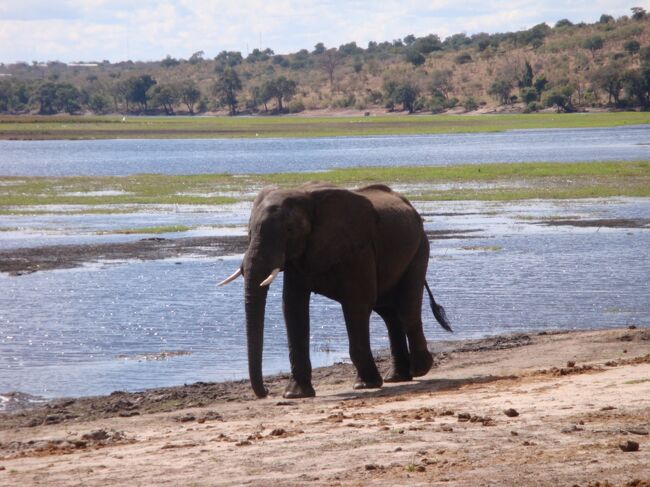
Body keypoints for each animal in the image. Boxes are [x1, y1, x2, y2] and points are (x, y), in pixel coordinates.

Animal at [219, 183, 450, 400]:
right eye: (249, 231)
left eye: (290, 230)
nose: (266, 391)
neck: (304, 196)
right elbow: (293, 307)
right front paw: (296, 395)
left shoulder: (358, 248)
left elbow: (357, 304)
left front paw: (365, 385)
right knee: (388, 313)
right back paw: (397, 377)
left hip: (420, 247)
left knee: (406, 309)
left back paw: (420, 369)